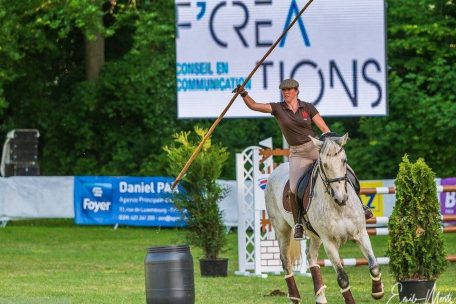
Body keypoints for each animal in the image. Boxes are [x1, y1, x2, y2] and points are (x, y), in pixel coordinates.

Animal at [264, 134, 384, 302]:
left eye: (344, 160)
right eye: (324, 165)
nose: (341, 198)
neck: (339, 207)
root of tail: (275, 171)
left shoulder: (361, 234)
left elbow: (374, 266)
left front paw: (378, 292)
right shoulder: (329, 242)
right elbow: (342, 277)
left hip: (315, 236)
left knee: (311, 257)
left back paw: (320, 297)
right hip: (282, 230)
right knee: (286, 261)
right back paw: (295, 297)